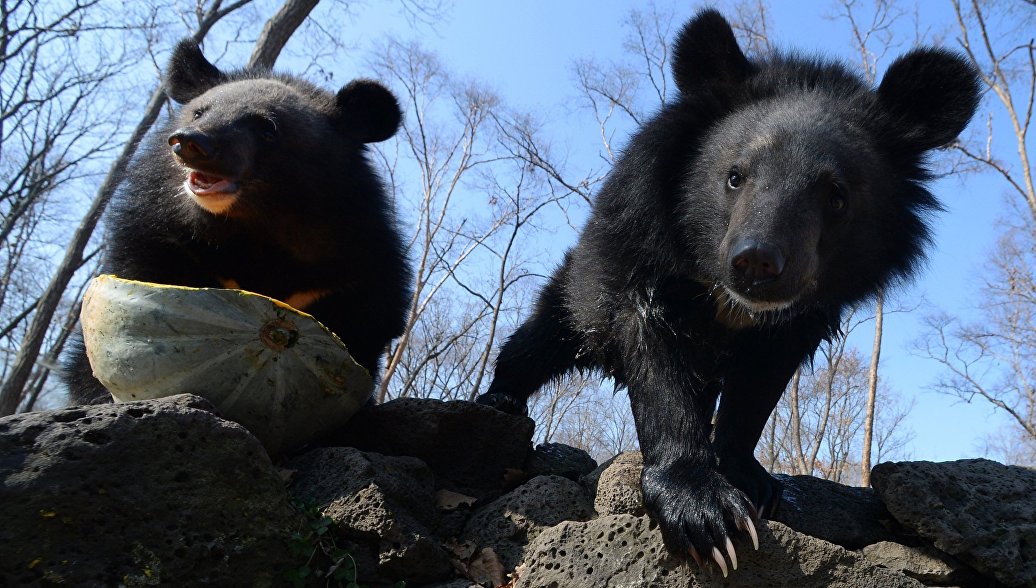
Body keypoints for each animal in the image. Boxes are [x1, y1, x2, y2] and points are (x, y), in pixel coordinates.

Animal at [62, 41, 412, 405]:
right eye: (200, 112)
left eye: (267, 127)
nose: (190, 143)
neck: (252, 226)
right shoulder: (162, 239)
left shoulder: (352, 270)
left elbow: (364, 326)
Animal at [476, 6, 977, 571]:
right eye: (735, 176)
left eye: (837, 195)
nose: (756, 263)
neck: (728, 299)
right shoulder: (641, 256)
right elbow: (655, 364)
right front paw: (704, 513)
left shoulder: (794, 322)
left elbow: (758, 390)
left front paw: (750, 479)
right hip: (575, 290)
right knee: (536, 342)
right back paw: (500, 400)